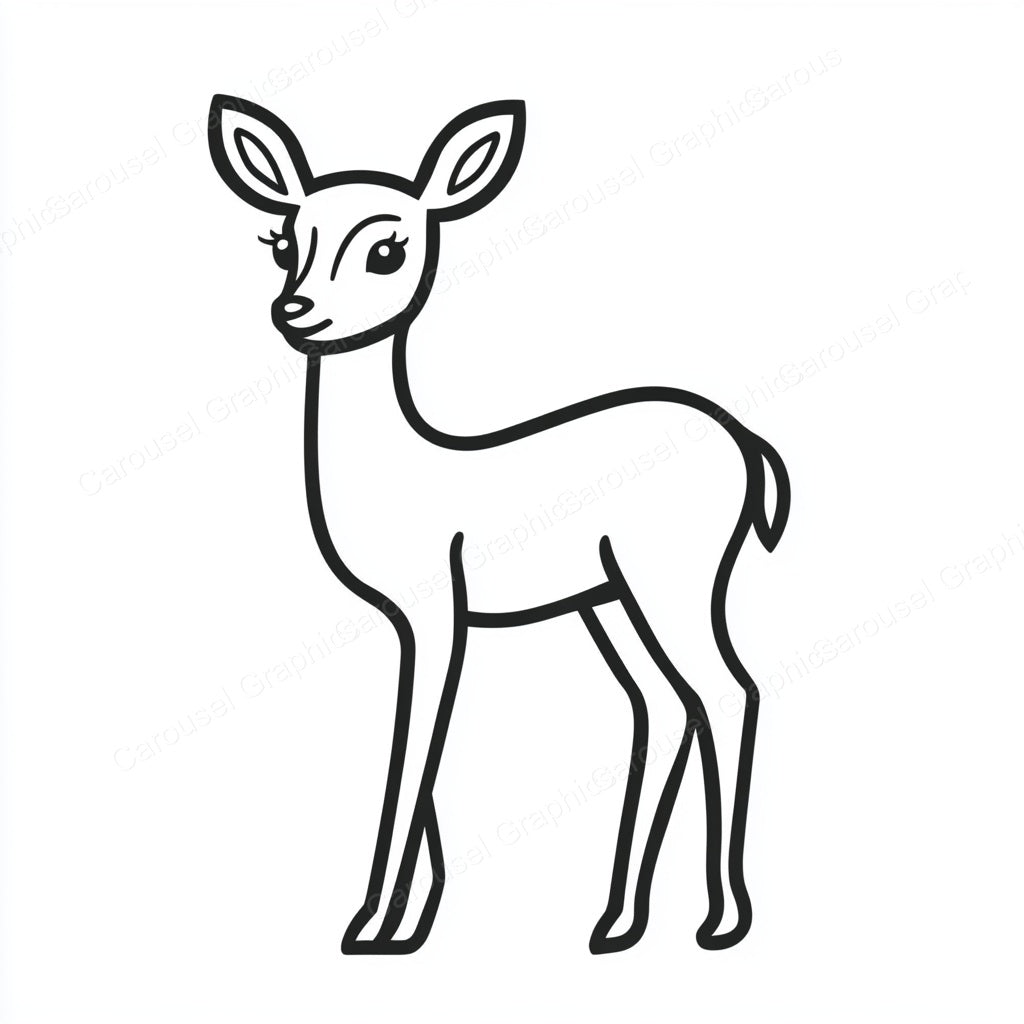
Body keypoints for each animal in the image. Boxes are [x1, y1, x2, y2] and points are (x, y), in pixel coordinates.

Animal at [208, 94, 791, 956]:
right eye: (283, 242)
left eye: (388, 248)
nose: (297, 312)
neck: (405, 466)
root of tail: (744, 440)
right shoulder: (417, 621)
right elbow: (420, 744)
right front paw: (408, 921)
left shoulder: (438, 610)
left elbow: (418, 744)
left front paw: (375, 926)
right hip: (608, 599)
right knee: (663, 707)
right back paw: (617, 923)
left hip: (669, 580)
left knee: (726, 691)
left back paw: (720, 922)